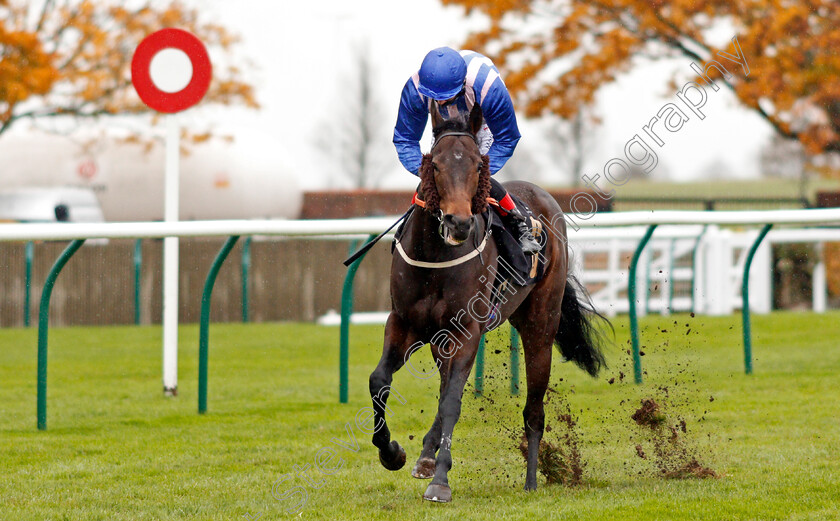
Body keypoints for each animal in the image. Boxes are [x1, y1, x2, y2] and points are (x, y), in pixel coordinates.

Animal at [368, 100, 604, 500]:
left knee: (533, 410)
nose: (459, 222)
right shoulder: (404, 323)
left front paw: (440, 481)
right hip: (442, 340)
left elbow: (453, 402)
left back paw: (531, 480)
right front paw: (392, 452)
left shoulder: (467, 330)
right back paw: (426, 455)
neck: (435, 257)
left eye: (478, 165)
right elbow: (380, 381)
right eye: (434, 164)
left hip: (540, 325)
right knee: (444, 384)